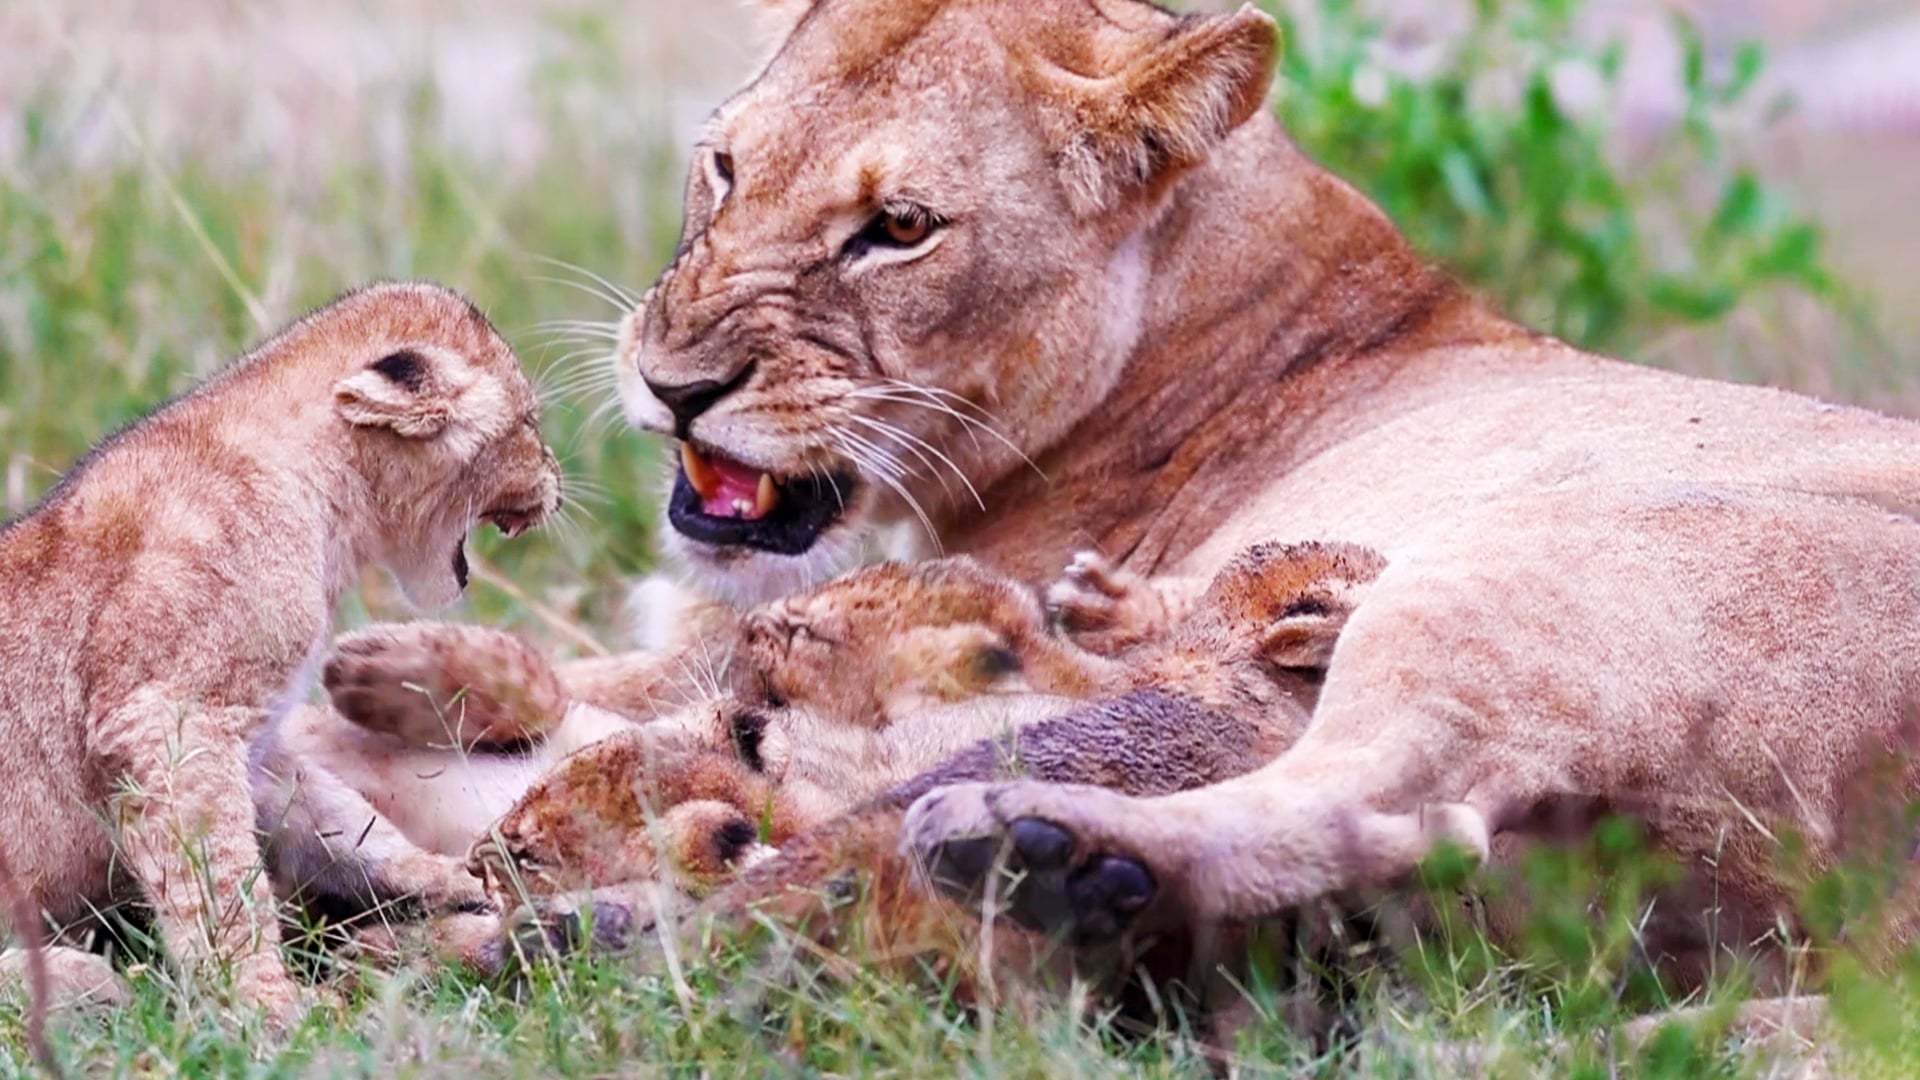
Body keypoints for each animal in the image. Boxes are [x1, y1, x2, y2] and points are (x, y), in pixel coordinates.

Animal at [0, 283, 561, 1025]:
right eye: (529, 421)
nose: (558, 482)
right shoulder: (170, 719)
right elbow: (219, 881)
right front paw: (267, 1005)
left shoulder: (257, 742)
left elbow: (340, 819)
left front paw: (454, 878)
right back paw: (80, 980)